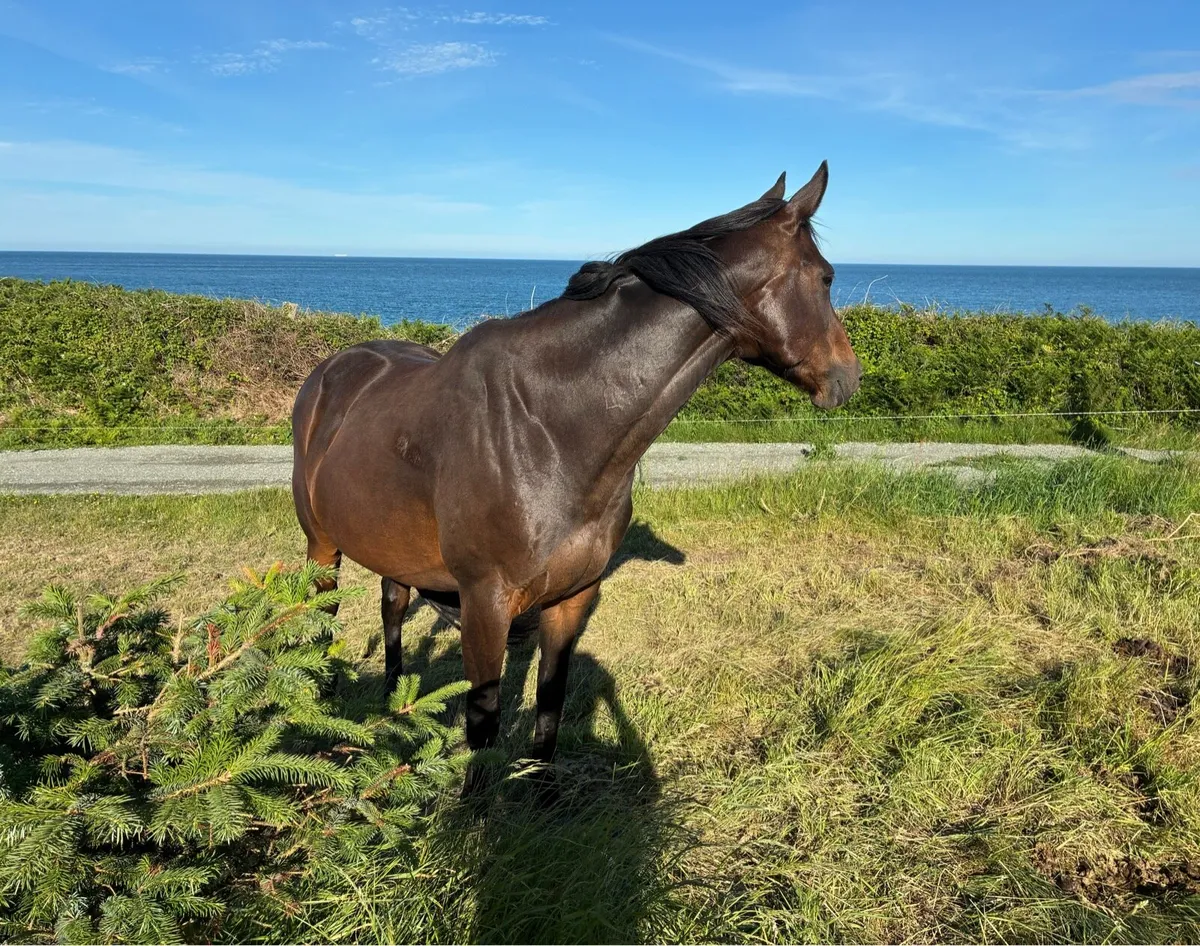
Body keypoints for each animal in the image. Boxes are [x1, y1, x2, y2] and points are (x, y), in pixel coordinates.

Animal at [291, 163, 862, 792]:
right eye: (827, 278)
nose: (848, 376)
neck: (548, 428)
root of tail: (329, 372)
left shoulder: (571, 599)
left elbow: (550, 708)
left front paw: (539, 799)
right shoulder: (485, 605)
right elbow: (483, 728)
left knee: (392, 606)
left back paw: (391, 704)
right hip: (322, 546)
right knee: (320, 618)